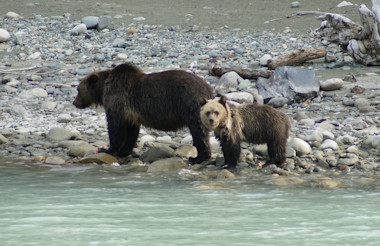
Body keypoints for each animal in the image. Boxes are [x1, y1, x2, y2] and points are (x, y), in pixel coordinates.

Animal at [72, 62, 212, 163]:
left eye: (78, 89)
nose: (74, 102)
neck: (102, 91)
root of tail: (208, 87)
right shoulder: (130, 113)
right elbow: (131, 131)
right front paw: (124, 150)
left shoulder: (117, 101)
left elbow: (115, 127)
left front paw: (108, 149)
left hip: (189, 102)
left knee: (198, 130)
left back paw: (198, 157)